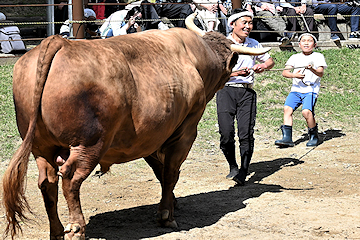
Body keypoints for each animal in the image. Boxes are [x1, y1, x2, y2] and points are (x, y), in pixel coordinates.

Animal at [2, 14, 270, 239]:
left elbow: (160, 171)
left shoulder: (150, 137)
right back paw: (76, 228)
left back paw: (57, 230)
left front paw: (172, 203)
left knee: (47, 182)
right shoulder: (184, 132)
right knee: (70, 178)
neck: (195, 59)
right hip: (89, 144)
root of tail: (58, 42)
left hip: (41, 147)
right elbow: (170, 172)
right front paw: (166, 215)